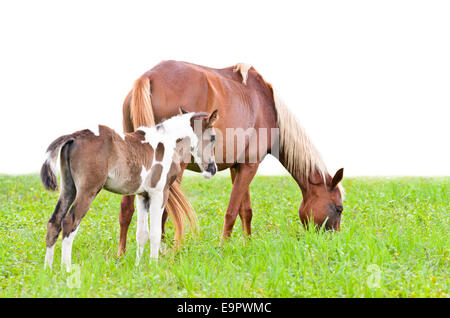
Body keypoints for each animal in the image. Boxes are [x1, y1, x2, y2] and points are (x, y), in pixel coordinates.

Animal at [39, 110, 219, 270]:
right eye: (213, 137)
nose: (212, 169)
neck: (168, 142)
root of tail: (74, 136)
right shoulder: (159, 193)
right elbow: (155, 233)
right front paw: (154, 268)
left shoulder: (142, 196)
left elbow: (142, 234)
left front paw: (138, 267)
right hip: (88, 190)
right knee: (69, 222)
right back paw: (66, 269)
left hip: (68, 189)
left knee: (54, 222)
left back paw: (48, 270)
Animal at [118, 58, 344, 255]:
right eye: (339, 208)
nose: (332, 242)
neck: (268, 106)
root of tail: (148, 77)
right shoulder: (250, 166)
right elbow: (232, 211)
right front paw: (223, 249)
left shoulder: (239, 167)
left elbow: (246, 211)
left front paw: (247, 245)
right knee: (163, 211)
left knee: (127, 208)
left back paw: (121, 254)